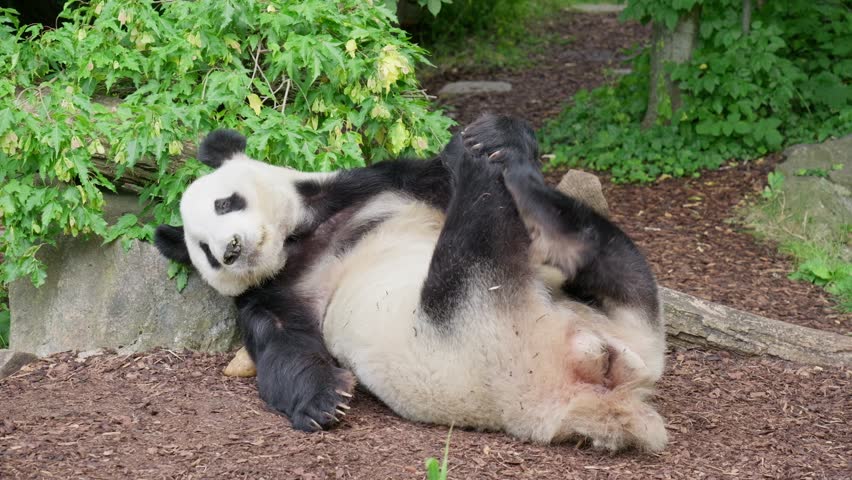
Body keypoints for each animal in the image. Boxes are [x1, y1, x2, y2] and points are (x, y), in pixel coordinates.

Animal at [154, 114, 668, 452]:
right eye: (203, 250)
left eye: (225, 203)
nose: (230, 250)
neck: (297, 241)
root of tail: (582, 399)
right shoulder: (272, 293)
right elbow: (283, 348)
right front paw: (326, 401)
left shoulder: (371, 187)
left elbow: (426, 174)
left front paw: (498, 135)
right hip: (475, 317)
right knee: (486, 225)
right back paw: (492, 173)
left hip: (630, 321)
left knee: (606, 251)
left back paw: (499, 160)